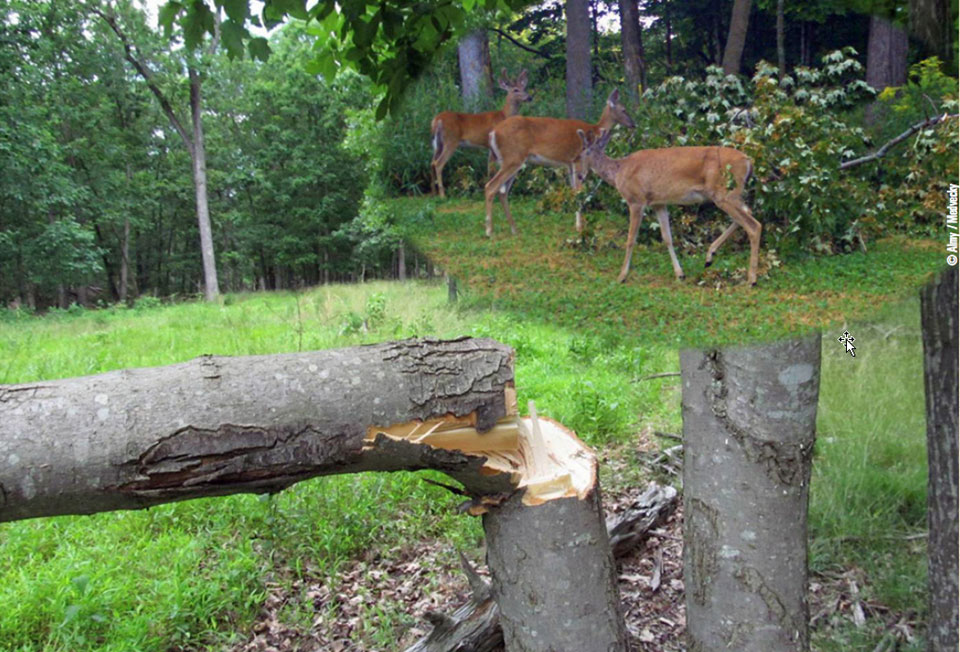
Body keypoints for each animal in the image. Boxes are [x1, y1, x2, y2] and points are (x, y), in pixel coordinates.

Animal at [430, 69, 532, 199]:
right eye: (515, 90)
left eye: (524, 87)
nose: (529, 97)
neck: (504, 115)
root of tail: (437, 120)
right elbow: (492, 169)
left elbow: (489, 168)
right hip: (450, 140)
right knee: (438, 163)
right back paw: (442, 195)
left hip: (437, 142)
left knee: (432, 162)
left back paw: (433, 193)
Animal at [480, 88, 636, 237]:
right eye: (623, 109)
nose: (633, 124)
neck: (595, 129)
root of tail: (493, 133)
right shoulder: (578, 160)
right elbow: (578, 192)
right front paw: (580, 228)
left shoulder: (569, 164)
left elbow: (573, 191)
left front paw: (577, 224)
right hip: (513, 158)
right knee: (491, 186)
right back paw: (489, 231)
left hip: (513, 161)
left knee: (503, 191)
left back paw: (514, 229)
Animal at [572, 130, 760, 286]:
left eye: (583, 152)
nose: (578, 174)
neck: (619, 172)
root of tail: (749, 161)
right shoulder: (659, 203)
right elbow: (667, 237)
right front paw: (680, 274)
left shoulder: (636, 200)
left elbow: (631, 239)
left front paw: (621, 276)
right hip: (732, 194)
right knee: (747, 214)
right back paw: (709, 257)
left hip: (724, 193)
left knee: (754, 225)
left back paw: (751, 279)